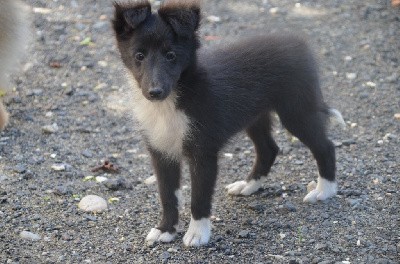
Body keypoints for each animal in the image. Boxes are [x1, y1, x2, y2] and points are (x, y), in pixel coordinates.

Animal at [111, 0, 344, 248]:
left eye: (171, 55)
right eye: (139, 55)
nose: (154, 92)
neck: (174, 99)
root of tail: (298, 42)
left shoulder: (203, 151)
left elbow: (199, 197)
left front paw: (197, 233)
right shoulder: (160, 149)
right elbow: (167, 194)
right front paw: (165, 230)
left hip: (297, 110)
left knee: (325, 146)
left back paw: (325, 190)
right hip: (255, 115)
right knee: (269, 149)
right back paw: (248, 185)